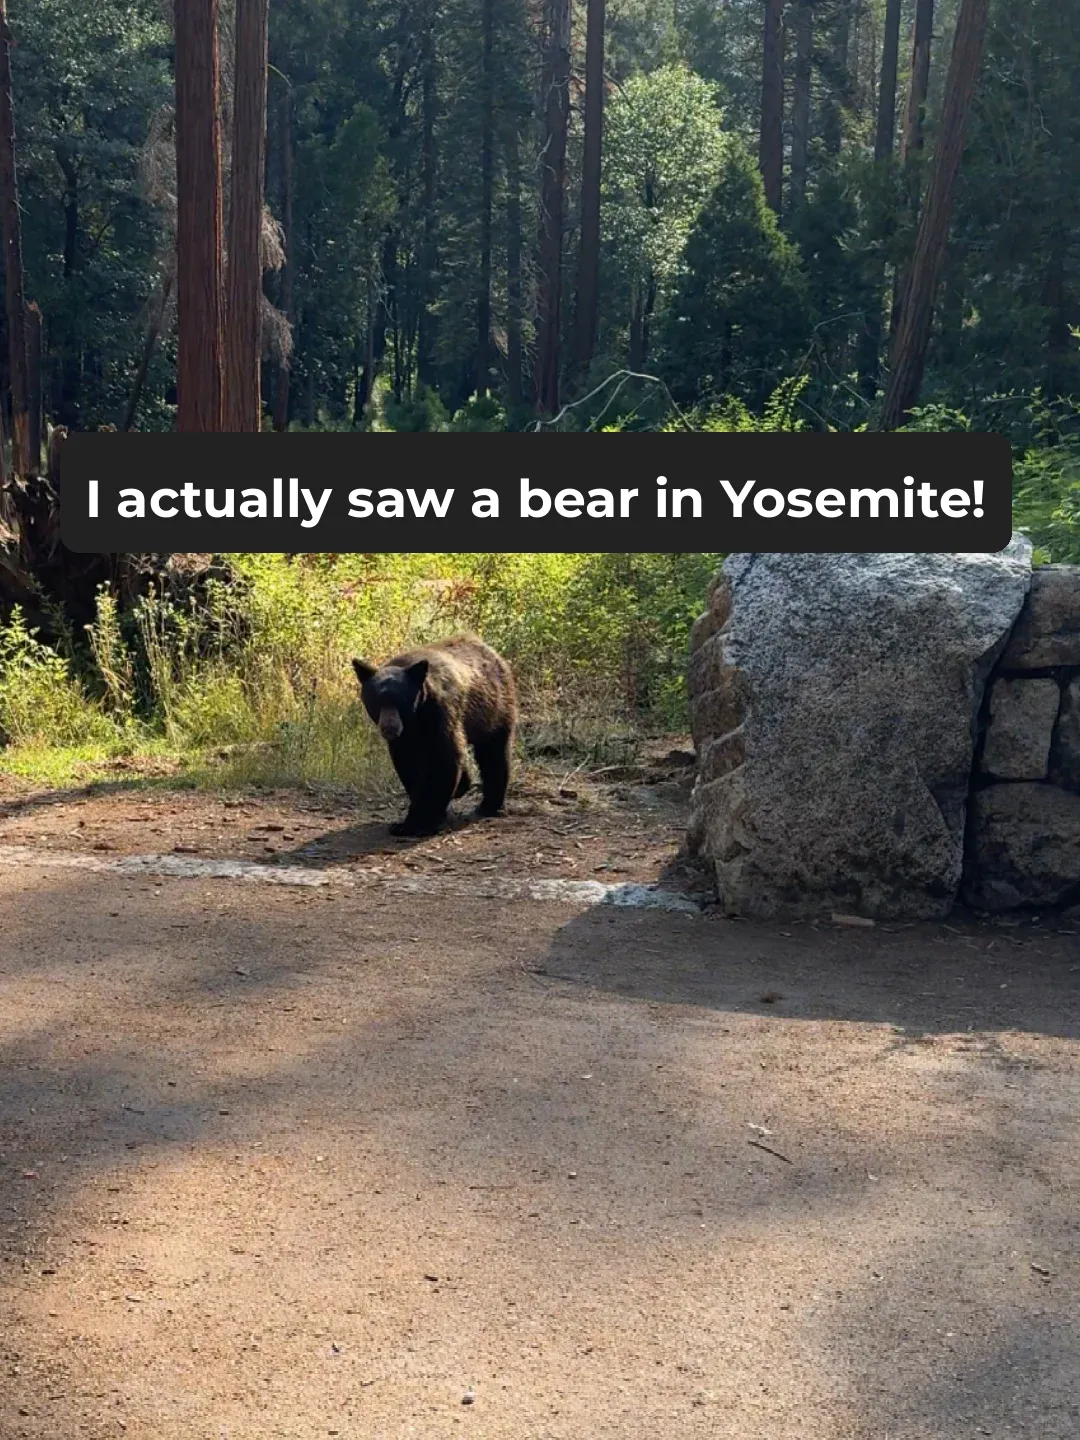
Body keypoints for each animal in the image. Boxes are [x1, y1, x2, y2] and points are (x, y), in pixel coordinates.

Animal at [351, 634, 517, 837]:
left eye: (400, 701)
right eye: (377, 701)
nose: (389, 727)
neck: (417, 716)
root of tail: (491, 651)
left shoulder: (440, 712)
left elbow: (441, 761)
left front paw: (418, 822)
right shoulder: (407, 735)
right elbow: (408, 763)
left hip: (494, 709)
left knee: (494, 754)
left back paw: (489, 806)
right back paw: (465, 785)